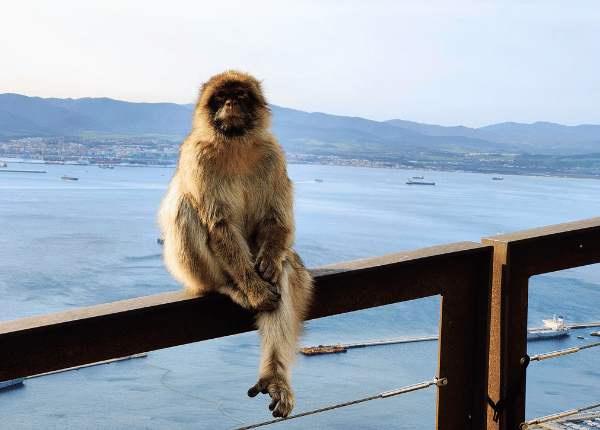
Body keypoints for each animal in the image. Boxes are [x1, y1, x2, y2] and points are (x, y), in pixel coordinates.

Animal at [157, 69, 312, 416]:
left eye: (240, 97)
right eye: (220, 98)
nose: (230, 104)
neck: (235, 146)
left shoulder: (273, 154)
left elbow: (277, 221)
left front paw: (270, 261)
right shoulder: (197, 156)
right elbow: (219, 225)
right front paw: (255, 291)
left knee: (286, 268)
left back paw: (274, 376)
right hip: (194, 274)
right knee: (185, 208)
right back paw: (230, 286)